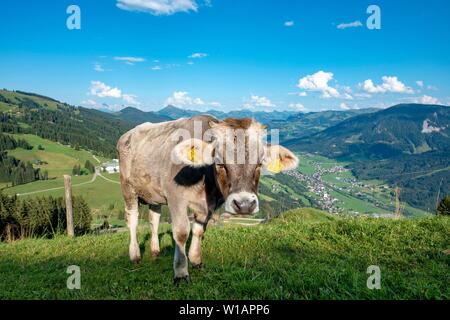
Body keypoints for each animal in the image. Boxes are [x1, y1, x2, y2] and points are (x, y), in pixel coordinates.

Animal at [117, 115, 298, 282]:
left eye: (260, 164)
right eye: (219, 163)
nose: (245, 205)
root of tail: (128, 134)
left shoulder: (209, 204)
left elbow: (199, 230)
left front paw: (196, 260)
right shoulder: (175, 197)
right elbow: (181, 232)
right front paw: (181, 272)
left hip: (154, 193)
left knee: (154, 219)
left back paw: (155, 251)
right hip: (127, 188)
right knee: (132, 219)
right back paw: (135, 255)